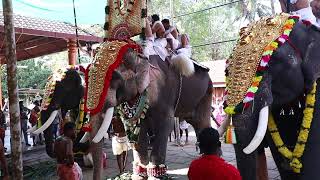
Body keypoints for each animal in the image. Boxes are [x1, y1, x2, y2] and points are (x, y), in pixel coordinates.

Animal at [85, 40, 214, 179]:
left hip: (207, 92)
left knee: (201, 122)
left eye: (114, 77)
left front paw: (155, 176)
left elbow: (165, 124)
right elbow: (138, 130)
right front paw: (139, 175)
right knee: (195, 122)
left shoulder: (164, 92)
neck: (140, 56)